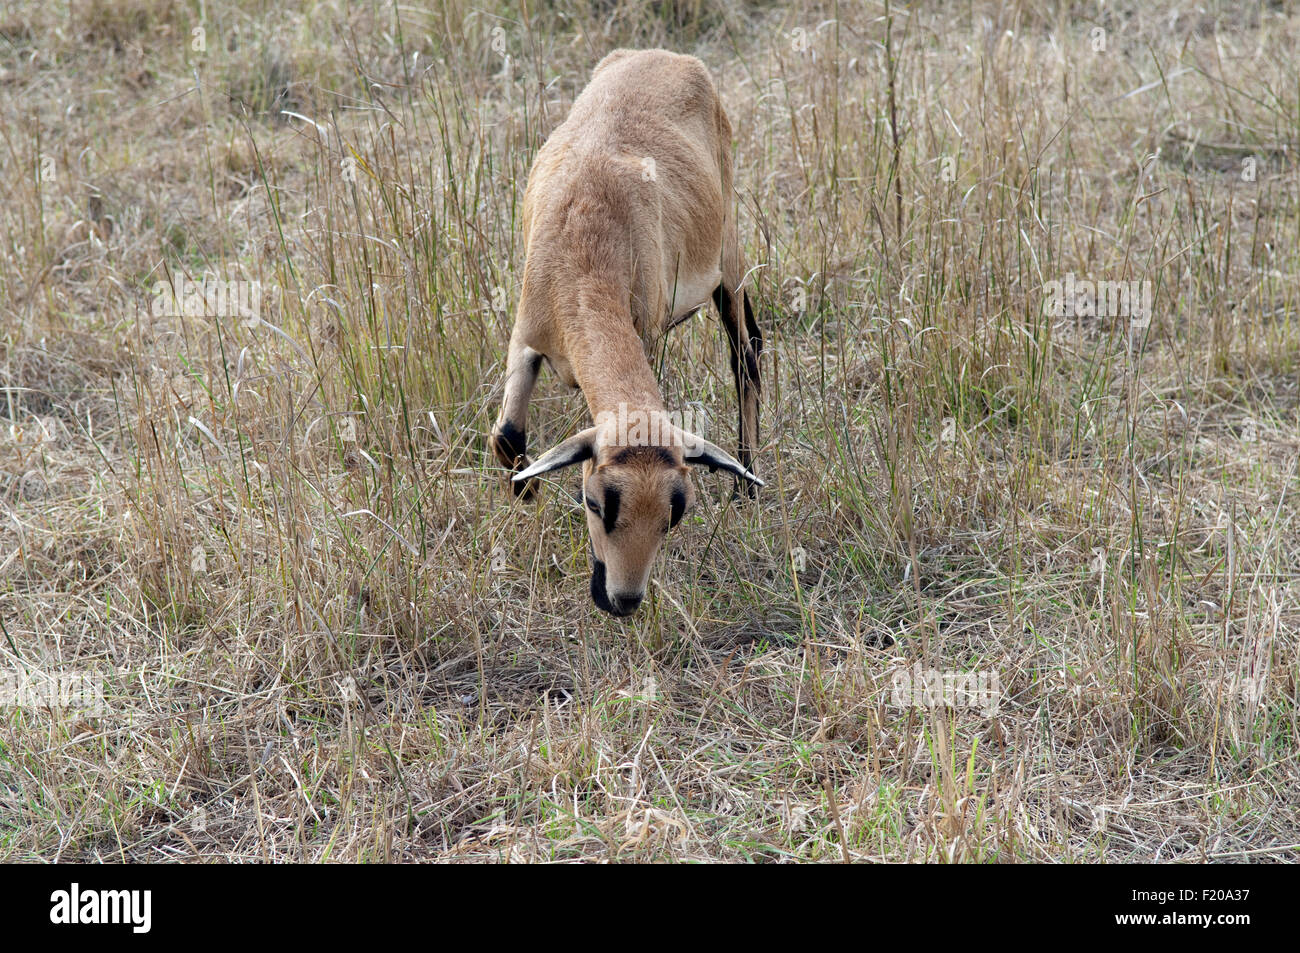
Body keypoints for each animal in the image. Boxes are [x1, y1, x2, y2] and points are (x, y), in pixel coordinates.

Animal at [491, 48, 764, 616]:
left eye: (674, 514)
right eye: (594, 502)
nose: (622, 600)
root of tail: (668, 56)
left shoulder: (646, 334)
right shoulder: (525, 340)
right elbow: (506, 435)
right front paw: (526, 500)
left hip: (728, 255)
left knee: (746, 353)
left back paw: (746, 490)